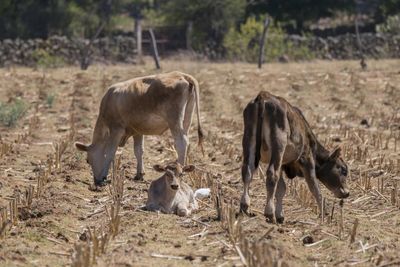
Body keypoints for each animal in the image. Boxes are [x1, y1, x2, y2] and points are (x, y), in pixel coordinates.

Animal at [239, 91, 348, 224]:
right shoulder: (307, 159)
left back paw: (245, 207)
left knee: (247, 170)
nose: (347, 193)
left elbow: (281, 188)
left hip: (249, 139)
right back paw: (269, 213)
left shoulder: (282, 164)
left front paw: (280, 215)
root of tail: (264, 95)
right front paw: (325, 216)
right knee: (271, 174)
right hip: (278, 143)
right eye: (343, 170)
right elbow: (314, 187)